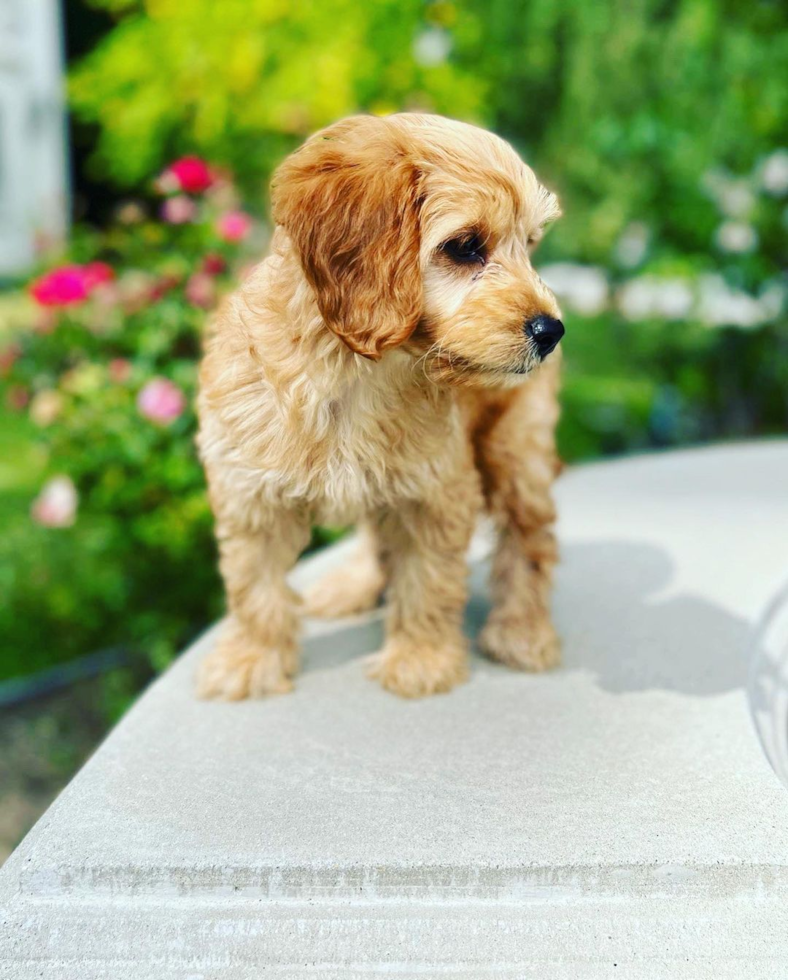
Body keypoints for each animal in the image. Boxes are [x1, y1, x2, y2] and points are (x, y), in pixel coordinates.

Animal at [197, 113, 568, 696]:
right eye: (466, 246)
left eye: (529, 246)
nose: (551, 330)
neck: (356, 370)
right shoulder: (250, 490)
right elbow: (253, 584)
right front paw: (251, 659)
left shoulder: (434, 489)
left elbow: (427, 580)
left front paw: (420, 659)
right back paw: (353, 586)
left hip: (516, 449)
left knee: (529, 539)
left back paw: (523, 631)